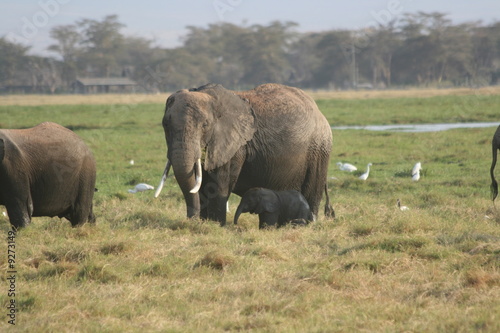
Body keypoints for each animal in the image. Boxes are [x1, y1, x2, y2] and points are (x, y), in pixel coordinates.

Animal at [154, 81, 334, 224]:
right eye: (165, 125)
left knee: (311, 193)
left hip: (319, 149)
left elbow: (218, 185)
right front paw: (206, 224)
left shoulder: (235, 145)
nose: (192, 222)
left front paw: (215, 226)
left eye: (205, 125)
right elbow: (202, 184)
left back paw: (308, 224)